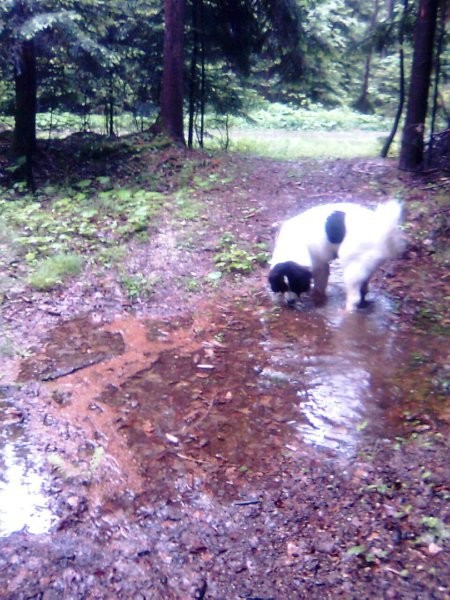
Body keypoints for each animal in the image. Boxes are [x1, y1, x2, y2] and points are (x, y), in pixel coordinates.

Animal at [268, 200, 404, 312]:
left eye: (295, 285)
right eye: (283, 287)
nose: (290, 302)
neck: (293, 242)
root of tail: (383, 231)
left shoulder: (319, 265)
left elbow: (319, 286)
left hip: (351, 268)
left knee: (354, 298)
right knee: (363, 289)